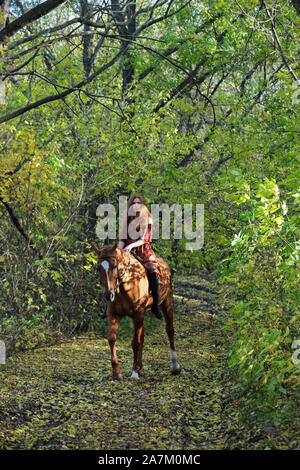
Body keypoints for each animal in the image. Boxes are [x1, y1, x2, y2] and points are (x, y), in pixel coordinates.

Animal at [91, 244, 180, 380]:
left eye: (114, 266)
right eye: (98, 267)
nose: (108, 295)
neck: (125, 286)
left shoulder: (138, 314)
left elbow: (135, 343)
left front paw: (134, 373)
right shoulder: (113, 314)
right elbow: (112, 339)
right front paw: (116, 372)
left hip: (167, 302)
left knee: (170, 330)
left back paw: (175, 366)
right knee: (142, 336)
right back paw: (140, 366)